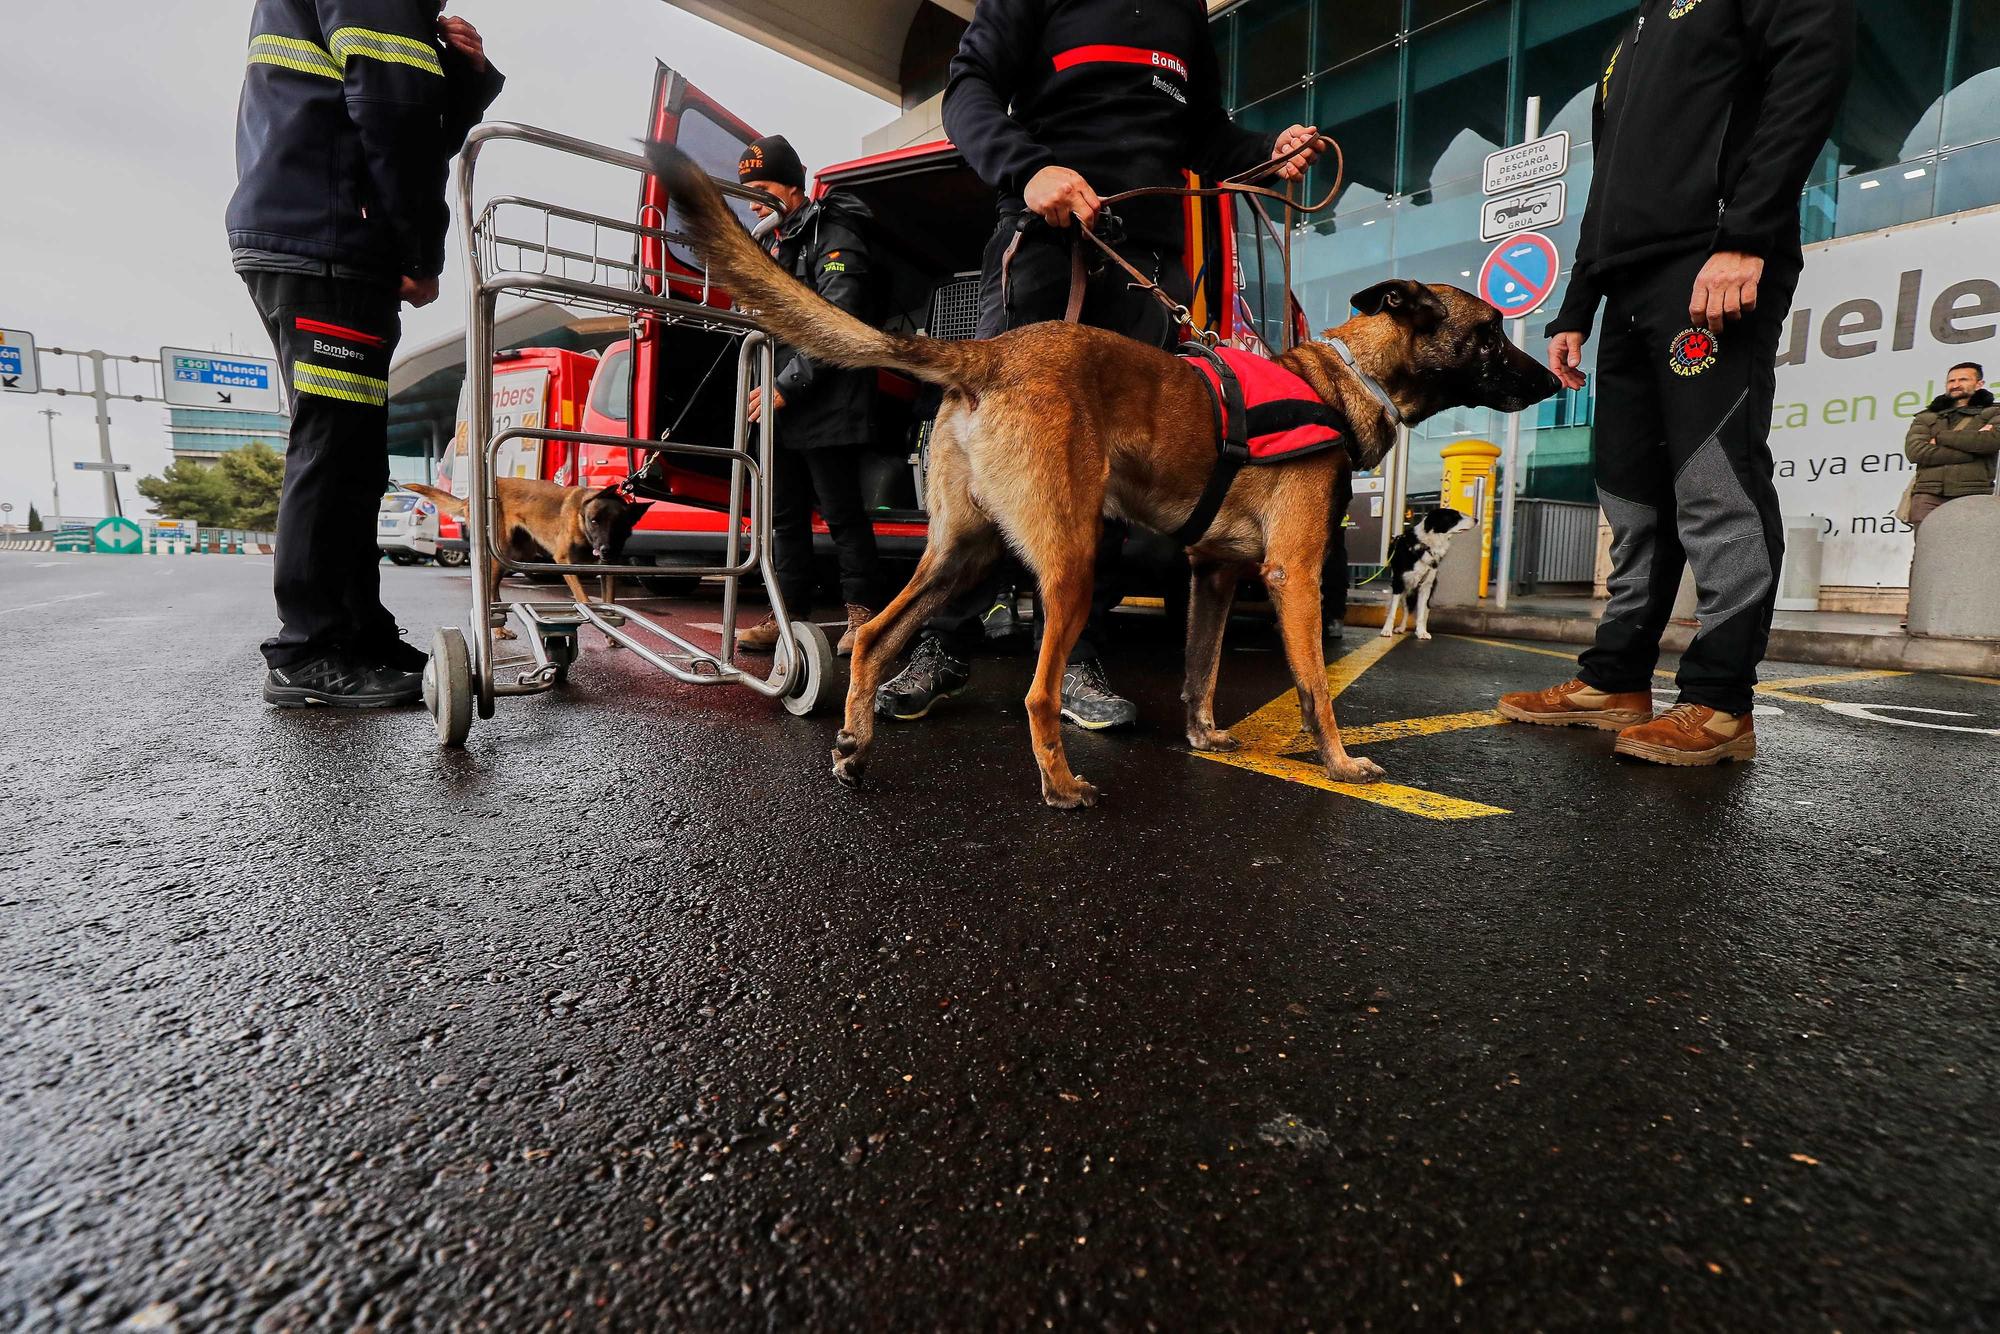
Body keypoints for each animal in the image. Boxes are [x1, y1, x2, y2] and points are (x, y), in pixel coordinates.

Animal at [404, 482, 652, 628]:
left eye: (619, 525)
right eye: (594, 521)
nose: (605, 549)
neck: (580, 519)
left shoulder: (607, 568)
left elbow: (609, 598)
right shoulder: (564, 560)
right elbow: (582, 596)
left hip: (517, 554)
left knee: (495, 594)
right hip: (499, 556)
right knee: (490, 596)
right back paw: (498, 631)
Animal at [648, 141, 1552, 808]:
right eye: (1491, 331)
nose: (1554, 379)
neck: (1339, 381)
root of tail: (990, 353)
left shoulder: (1212, 577)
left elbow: (1201, 670)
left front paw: (1204, 737)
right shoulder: (1292, 574)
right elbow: (1313, 687)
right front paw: (1338, 763)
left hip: (963, 553)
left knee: (872, 635)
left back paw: (856, 746)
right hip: (1070, 562)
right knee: (1036, 693)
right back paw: (1060, 783)